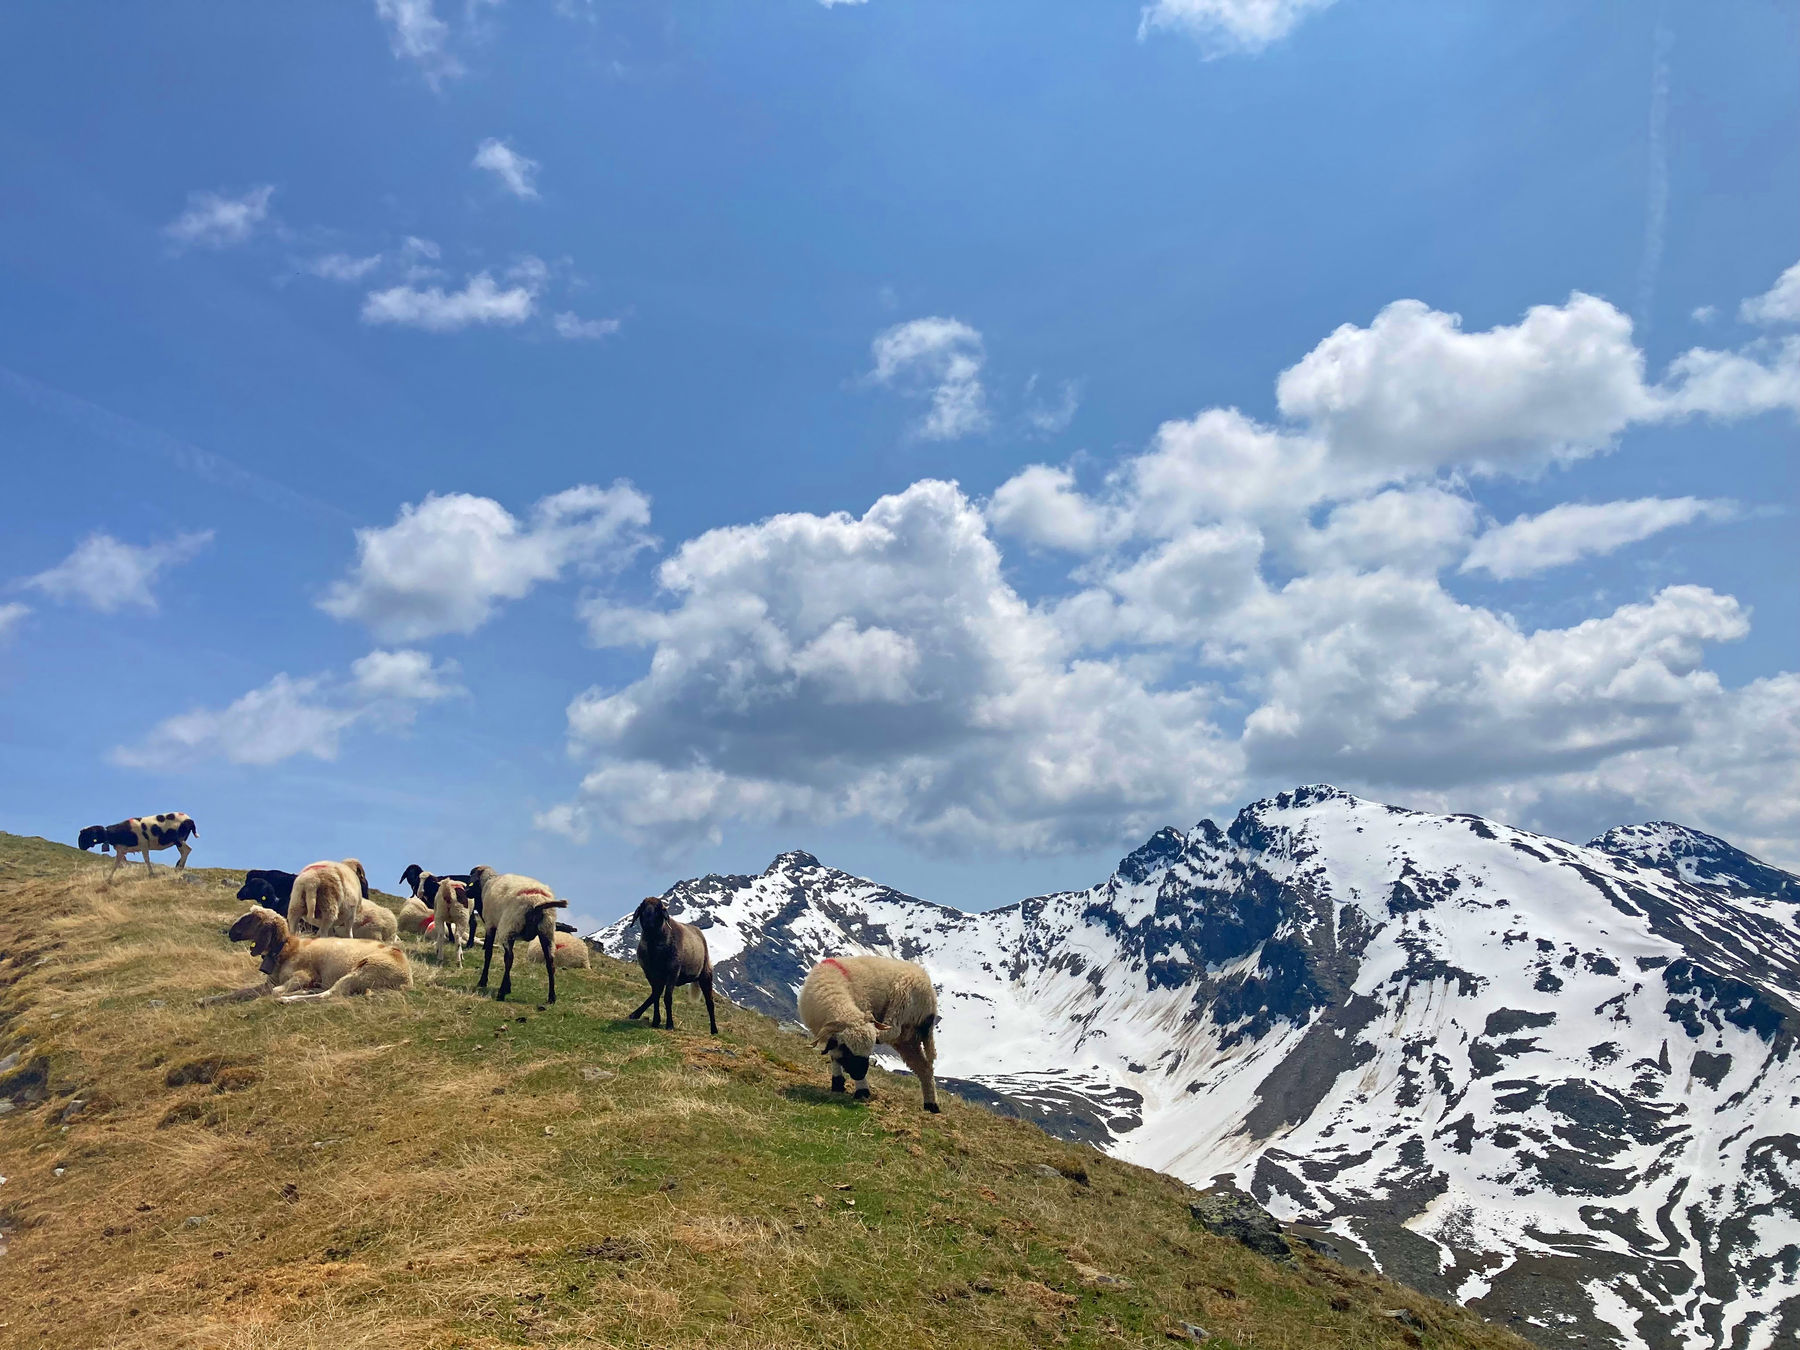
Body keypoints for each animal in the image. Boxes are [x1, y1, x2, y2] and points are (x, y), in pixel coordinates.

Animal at [202, 910, 412, 1008]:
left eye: (251, 919)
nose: (231, 933)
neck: (286, 949)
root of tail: (407, 981)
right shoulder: (269, 983)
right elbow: (239, 992)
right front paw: (206, 999)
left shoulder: (303, 975)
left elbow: (276, 991)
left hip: (365, 969)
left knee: (331, 994)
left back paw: (291, 999)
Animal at [468, 867, 565, 1008]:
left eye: (471, 880)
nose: (466, 892)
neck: (487, 883)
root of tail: (536, 902)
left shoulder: (491, 925)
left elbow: (488, 953)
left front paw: (483, 981)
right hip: (546, 930)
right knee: (550, 963)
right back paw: (551, 997)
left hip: (510, 926)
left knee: (509, 958)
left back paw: (501, 993)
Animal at [626, 900, 716, 1036]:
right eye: (642, 908)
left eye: (658, 909)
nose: (648, 924)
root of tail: (698, 931)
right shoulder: (650, 973)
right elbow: (655, 995)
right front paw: (656, 1021)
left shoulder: (672, 972)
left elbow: (667, 998)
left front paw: (669, 1024)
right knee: (656, 994)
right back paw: (635, 1014)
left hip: (705, 974)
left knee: (710, 1002)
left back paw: (714, 1030)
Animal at [799, 957, 943, 1116]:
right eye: (847, 1050)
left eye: (868, 1053)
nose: (859, 1074)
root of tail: (932, 1000)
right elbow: (834, 1053)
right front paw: (837, 1083)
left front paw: (862, 1091)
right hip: (907, 1039)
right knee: (925, 1067)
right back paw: (931, 1105)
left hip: (903, 997)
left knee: (893, 1029)